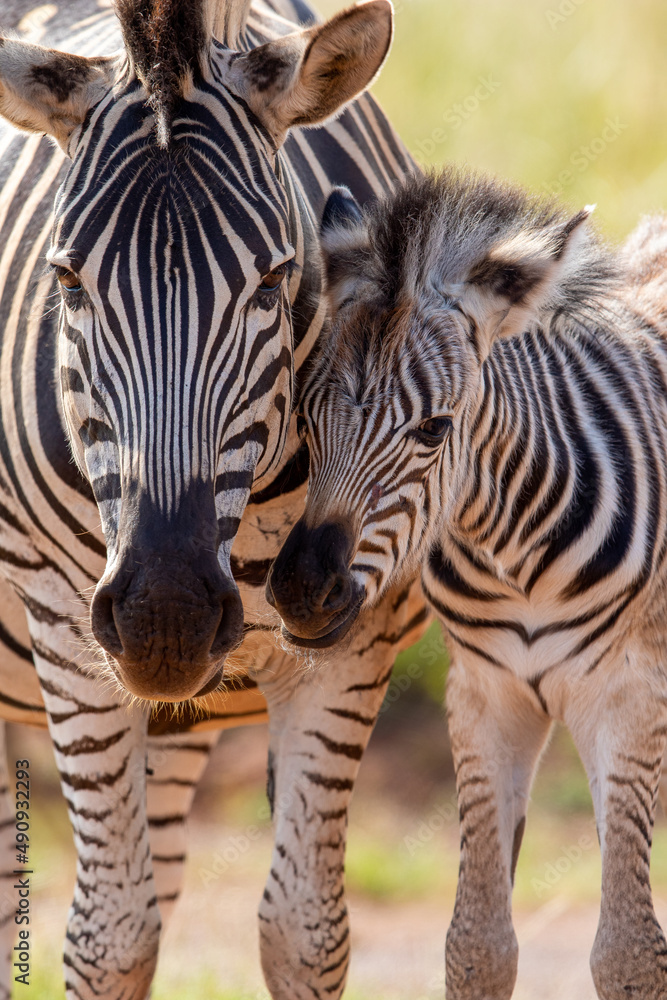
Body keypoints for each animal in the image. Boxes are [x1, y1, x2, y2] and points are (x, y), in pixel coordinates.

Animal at [0, 1, 429, 997]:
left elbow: (304, 931)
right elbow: (109, 938)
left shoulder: (354, 642)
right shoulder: (67, 631)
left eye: (272, 280)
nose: (166, 619)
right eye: (67, 281)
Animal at [267, 169, 667, 1000]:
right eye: (305, 417)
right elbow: (477, 944)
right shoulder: (487, 699)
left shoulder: (627, 700)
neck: (511, 548)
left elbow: (627, 952)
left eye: (433, 429)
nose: (300, 593)